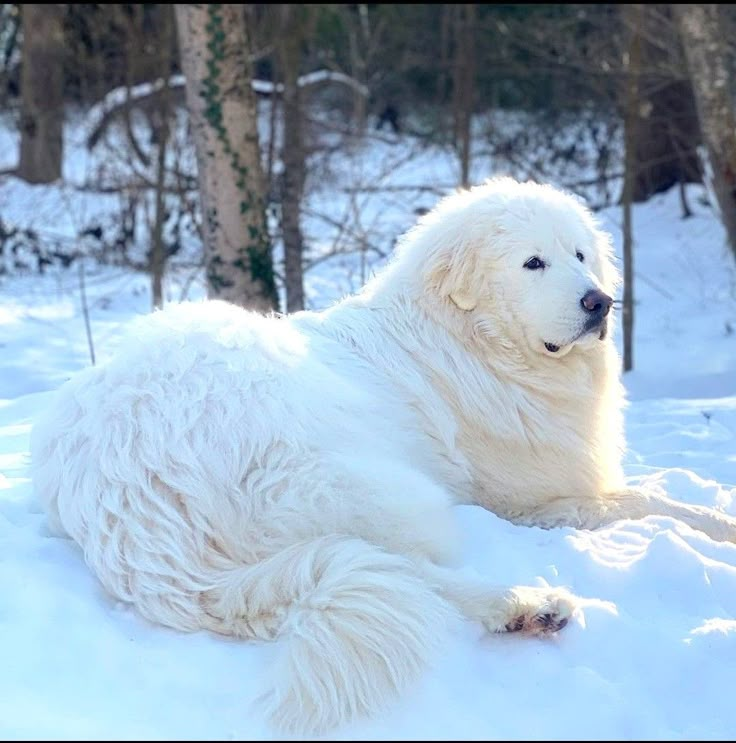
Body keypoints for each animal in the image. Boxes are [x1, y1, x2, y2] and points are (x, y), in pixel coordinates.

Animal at [28, 177, 736, 736]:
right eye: (533, 263)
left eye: (581, 254)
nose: (600, 302)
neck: (471, 340)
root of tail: (121, 488)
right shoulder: (538, 499)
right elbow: (649, 502)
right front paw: (718, 528)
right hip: (373, 485)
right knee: (400, 567)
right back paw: (521, 602)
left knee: (379, 567)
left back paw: (521, 611)